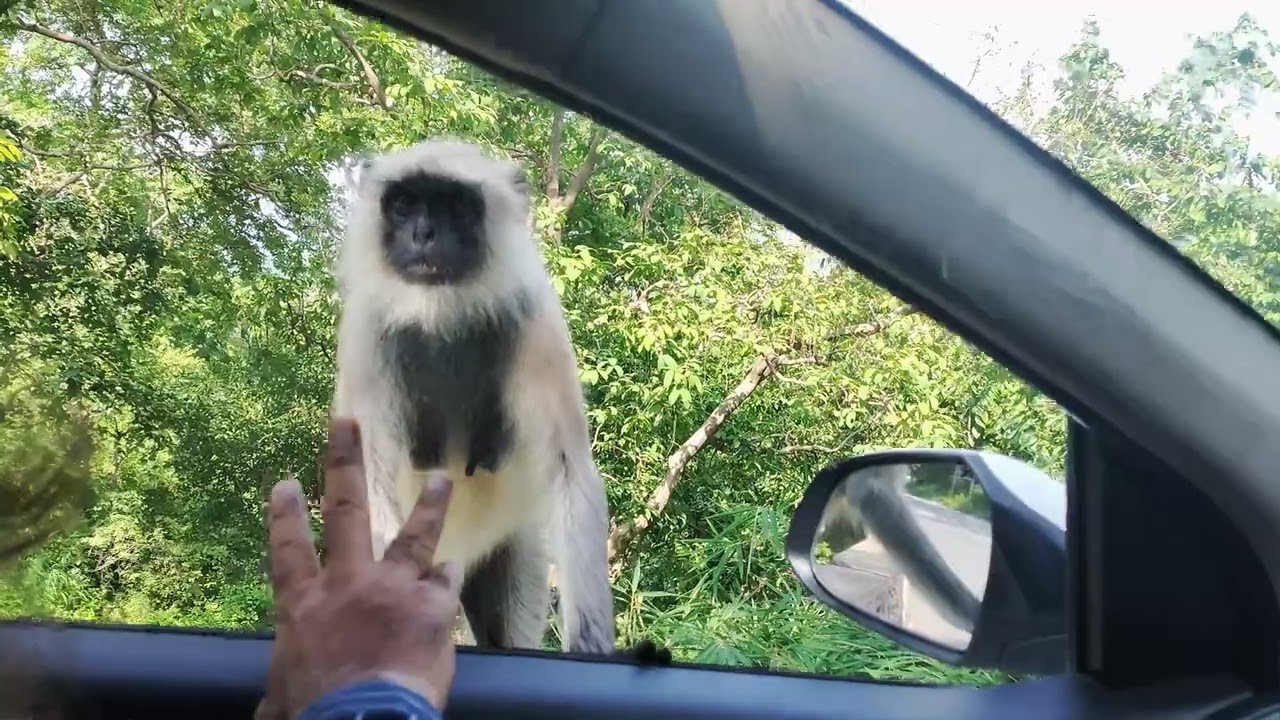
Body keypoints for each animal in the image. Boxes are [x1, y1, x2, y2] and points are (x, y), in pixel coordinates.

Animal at [330, 138, 616, 655]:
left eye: (456, 207)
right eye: (404, 205)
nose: (423, 233)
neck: (441, 315)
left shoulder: (534, 320)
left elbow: (570, 471)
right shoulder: (366, 334)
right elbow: (370, 481)